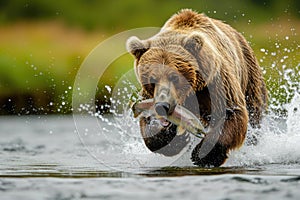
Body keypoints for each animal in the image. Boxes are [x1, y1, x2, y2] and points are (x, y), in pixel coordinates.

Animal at [126, 8, 268, 166]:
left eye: (174, 77)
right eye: (152, 79)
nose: (162, 105)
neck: (192, 89)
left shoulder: (215, 84)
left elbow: (232, 113)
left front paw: (203, 155)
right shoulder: (150, 96)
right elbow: (148, 122)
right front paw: (173, 137)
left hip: (249, 76)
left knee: (254, 113)